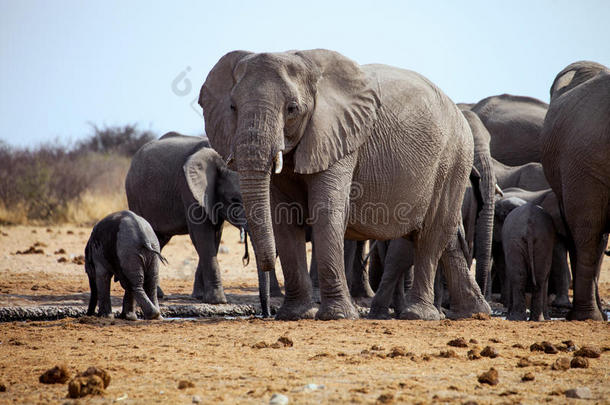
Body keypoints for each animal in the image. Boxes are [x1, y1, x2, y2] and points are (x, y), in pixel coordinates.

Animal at [126, 133, 282, 306]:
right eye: (234, 200)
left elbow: (214, 237)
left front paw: (200, 297)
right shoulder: (189, 190)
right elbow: (202, 235)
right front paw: (218, 301)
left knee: (159, 240)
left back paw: (158, 293)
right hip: (134, 195)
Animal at [200, 49, 490, 318]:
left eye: (292, 109)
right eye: (233, 108)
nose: (266, 313)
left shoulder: (340, 138)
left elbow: (325, 210)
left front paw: (337, 316)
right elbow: (283, 216)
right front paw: (296, 315)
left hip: (453, 158)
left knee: (431, 233)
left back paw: (419, 315)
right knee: (444, 236)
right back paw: (473, 312)